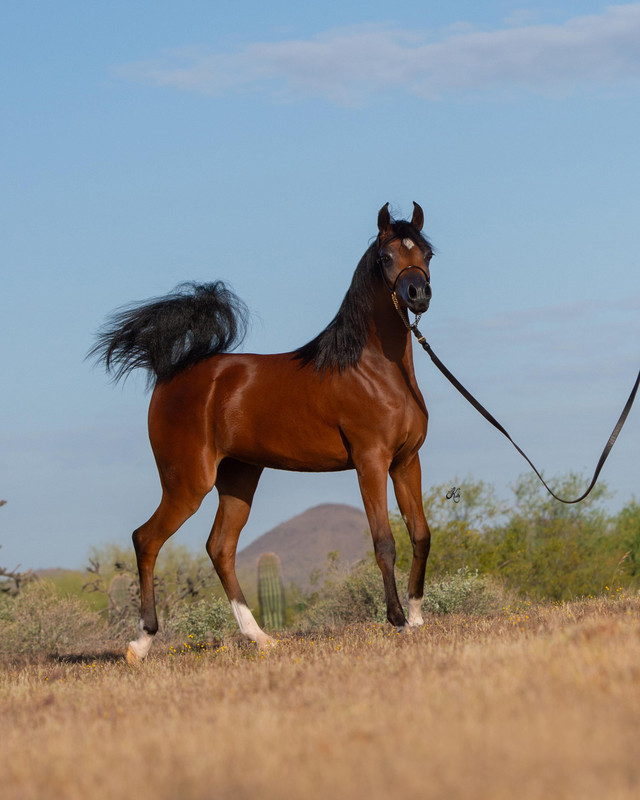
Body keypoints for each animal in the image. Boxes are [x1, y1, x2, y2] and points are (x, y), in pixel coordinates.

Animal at [94, 202, 436, 664]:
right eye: (386, 257)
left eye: (426, 253)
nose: (418, 294)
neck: (374, 370)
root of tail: (171, 374)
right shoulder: (370, 463)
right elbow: (384, 541)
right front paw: (397, 621)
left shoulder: (405, 461)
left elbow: (420, 534)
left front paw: (417, 618)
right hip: (187, 483)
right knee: (146, 539)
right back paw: (141, 642)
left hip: (238, 478)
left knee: (220, 548)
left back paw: (259, 637)